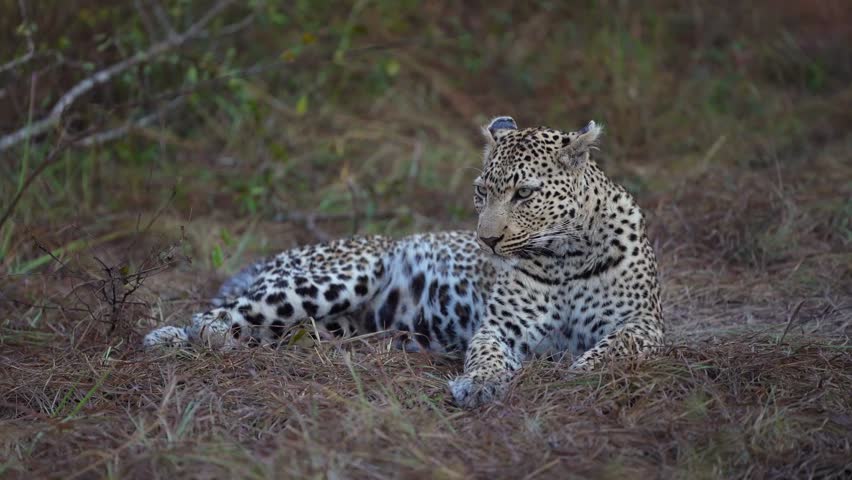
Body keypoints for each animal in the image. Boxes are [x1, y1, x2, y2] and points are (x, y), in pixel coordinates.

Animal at [143, 116, 664, 408]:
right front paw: (478, 385)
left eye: (524, 194)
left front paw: (581, 372)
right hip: (340, 274)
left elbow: (616, 348)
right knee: (209, 317)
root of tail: (280, 255)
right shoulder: (501, 327)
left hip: (329, 325)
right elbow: (487, 356)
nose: (487, 240)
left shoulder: (645, 324)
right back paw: (188, 339)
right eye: (482, 191)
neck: (565, 259)